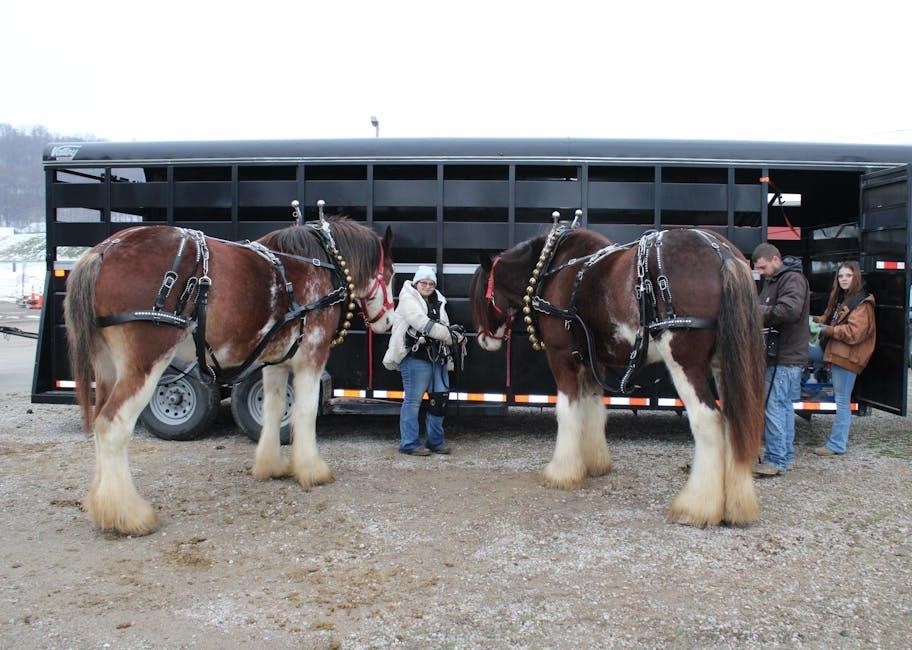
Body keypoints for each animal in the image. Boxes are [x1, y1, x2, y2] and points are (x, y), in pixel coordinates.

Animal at [64, 211, 395, 536]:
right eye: (390, 273)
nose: (389, 321)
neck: (321, 262)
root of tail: (103, 251)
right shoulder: (312, 355)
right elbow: (305, 411)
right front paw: (312, 470)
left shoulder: (276, 361)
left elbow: (274, 409)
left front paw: (271, 464)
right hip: (146, 362)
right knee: (112, 426)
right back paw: (129, 514)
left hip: (107, 366)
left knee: (99, 421)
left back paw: (102, 506)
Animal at [469, 222, 766, 527]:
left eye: (479, 295)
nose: (483, 340)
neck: (553, 268)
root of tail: (722, 253)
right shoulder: (592, 360)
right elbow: (592, 408)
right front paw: (593, 462)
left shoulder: (561, 355)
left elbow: (566, 410)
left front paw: (561, 472)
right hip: (723, 363)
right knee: (733, 420)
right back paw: (737, 506)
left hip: (685, 363)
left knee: (708, 420)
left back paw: (697, 506)